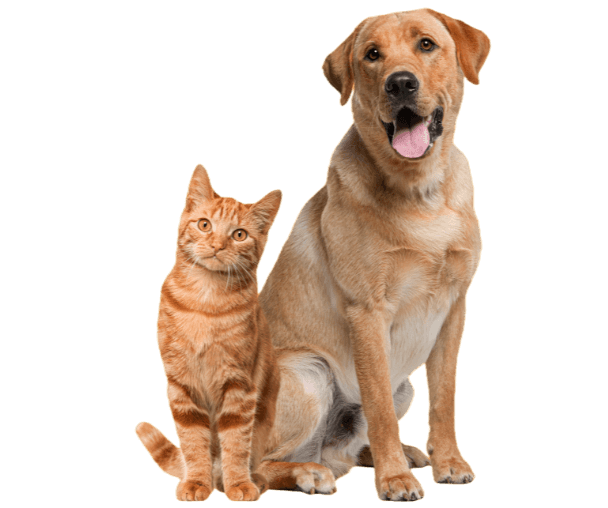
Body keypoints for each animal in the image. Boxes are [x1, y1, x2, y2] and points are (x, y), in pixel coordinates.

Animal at [139, 165, 286, 502]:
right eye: (205, 225)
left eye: (239, 234)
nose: (218, 245)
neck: (205, 301)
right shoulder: (182, 383)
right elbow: (194, 441)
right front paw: (196, 482)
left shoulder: (239, 384)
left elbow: (236, 441)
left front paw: (238, 484)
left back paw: (251, 478)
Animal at [256, 6, 490, 500]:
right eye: (372, 55)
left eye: (426, 44)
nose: (400, 84)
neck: (420, 193)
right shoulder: (368, 313)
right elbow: (379, 407)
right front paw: (395, 480)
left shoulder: (453, 310)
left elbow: (444, 399)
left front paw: (448, 462)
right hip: (310, 374)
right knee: (246, 465)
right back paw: (308, 473)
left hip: (404, 389)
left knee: (341, 448)